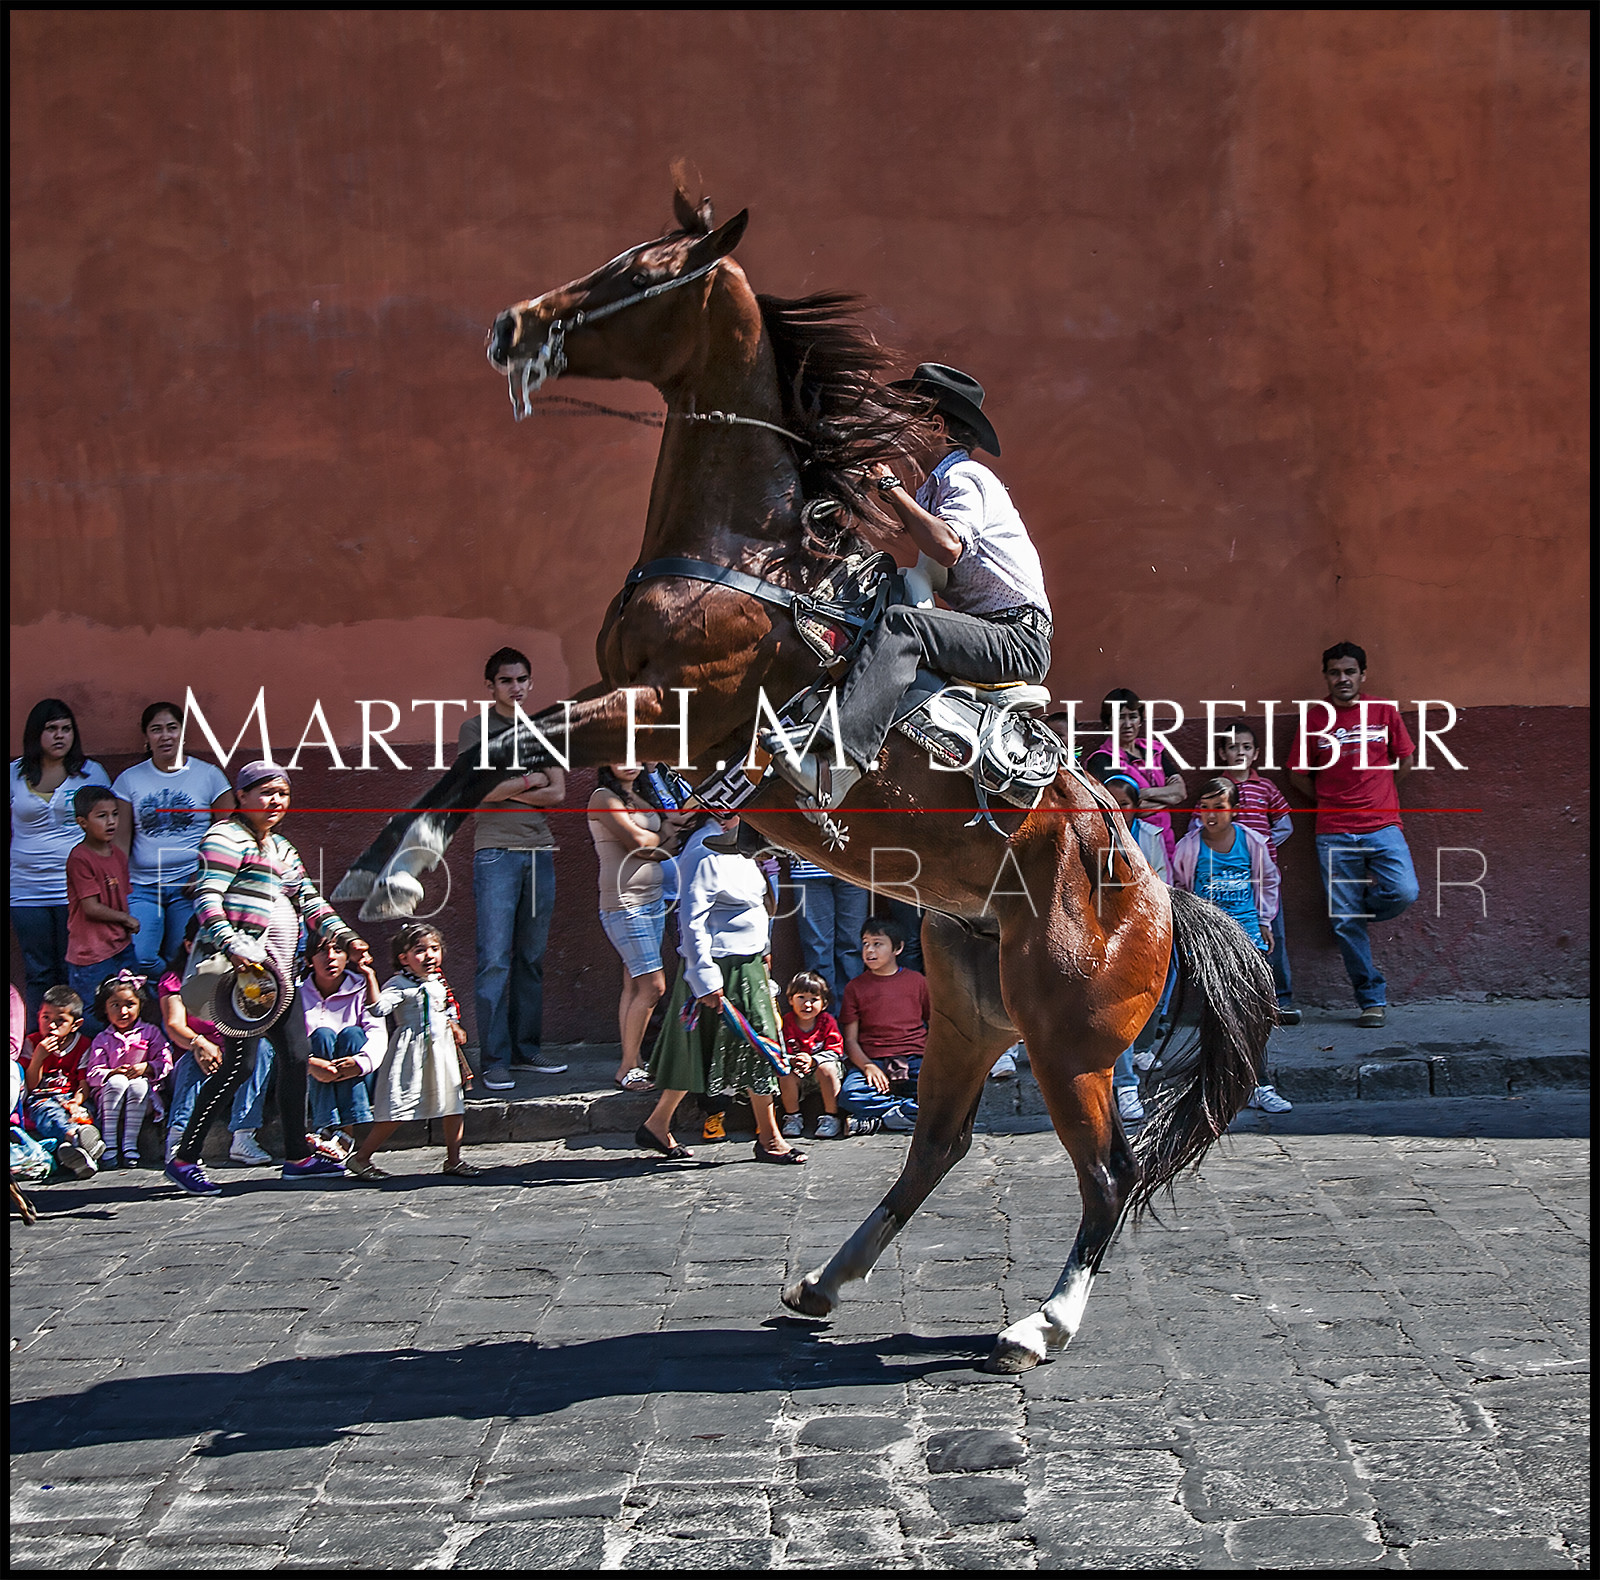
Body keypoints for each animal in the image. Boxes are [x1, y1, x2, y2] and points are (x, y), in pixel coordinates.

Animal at [334, 184, 1275, 1373]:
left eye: (643, 271)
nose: (513, 323)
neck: (753, 557)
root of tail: (1158, 893)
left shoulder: (676, 709)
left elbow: (498, 747)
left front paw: (391, 880)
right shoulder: (623, 703)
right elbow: (490, 741)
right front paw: (377, 874)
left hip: (1068, 1042)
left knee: (1106, 1172)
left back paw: (1038, 1323)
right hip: (971, 1006)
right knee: (938, 1142)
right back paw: (825, 1282)